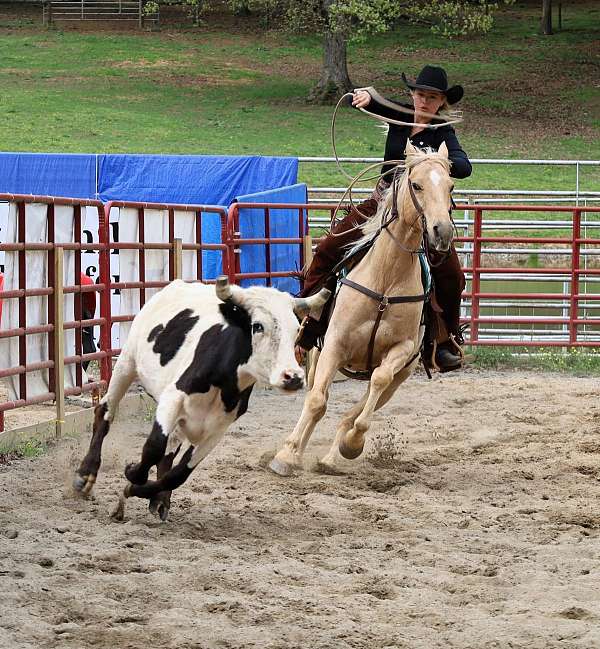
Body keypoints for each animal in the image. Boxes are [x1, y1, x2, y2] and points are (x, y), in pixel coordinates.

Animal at [74, 276, 332, 520]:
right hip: (126, 364)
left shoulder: (217, 430)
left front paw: (140, 490)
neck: (223, 380)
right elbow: (153, 448)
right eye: (258, 326)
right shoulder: (172, 398)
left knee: (170, 450)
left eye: (296, 329)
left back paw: (160, 500)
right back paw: (85, 475)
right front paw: (131, 473)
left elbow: (177, 474)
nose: (293, 377)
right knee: (105, 412)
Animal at [270, 142, 452, 474]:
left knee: (362, 402)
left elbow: (375, 385)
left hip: (401, 376)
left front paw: (352, 444)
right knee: (315, 396)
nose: (442, 232)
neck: (386, 280)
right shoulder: (334, 345)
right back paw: (297, 451)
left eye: (450, 186)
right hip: (318, 356)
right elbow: (316, 402)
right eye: (416, 184)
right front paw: (287, 456)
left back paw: (331, 457)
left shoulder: (401, 350)